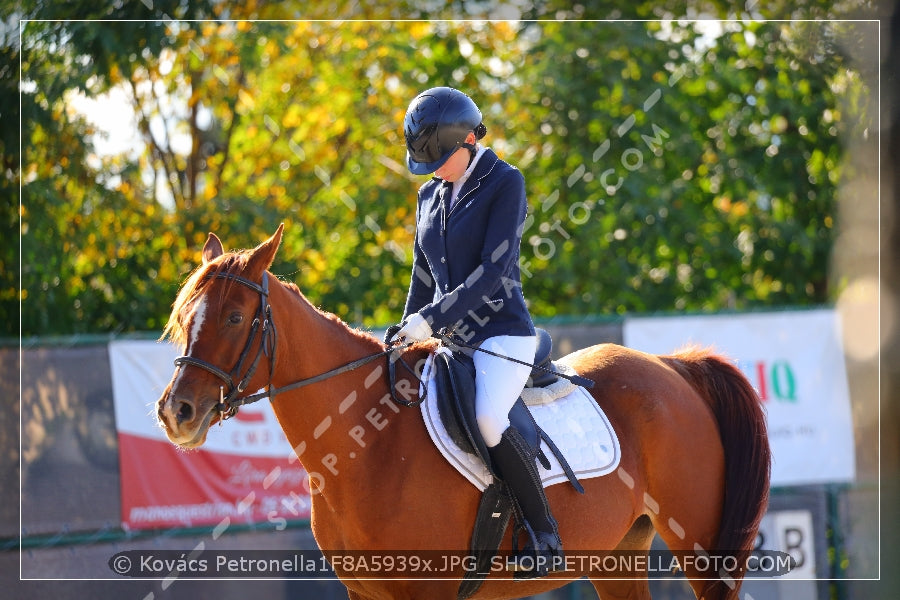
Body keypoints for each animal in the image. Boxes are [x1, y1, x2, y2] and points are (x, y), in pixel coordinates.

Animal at [158, 225, 768, 600]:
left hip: (701, 550)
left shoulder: (425, 592)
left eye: (235, 318)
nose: (177, 412)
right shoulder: (364, 592)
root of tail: (673, 366)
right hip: (615, 557)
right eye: (185, 316)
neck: (366, 446)